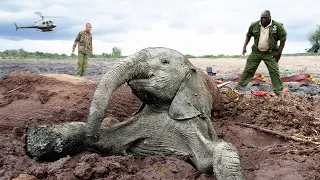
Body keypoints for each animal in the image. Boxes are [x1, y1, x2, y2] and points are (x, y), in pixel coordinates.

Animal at [26, 47, 245, 179]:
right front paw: (37, 139)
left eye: (164, 61)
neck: (160, 107)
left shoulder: (190, 125)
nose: (93, 132)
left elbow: (215, 155)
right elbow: (107, 143)